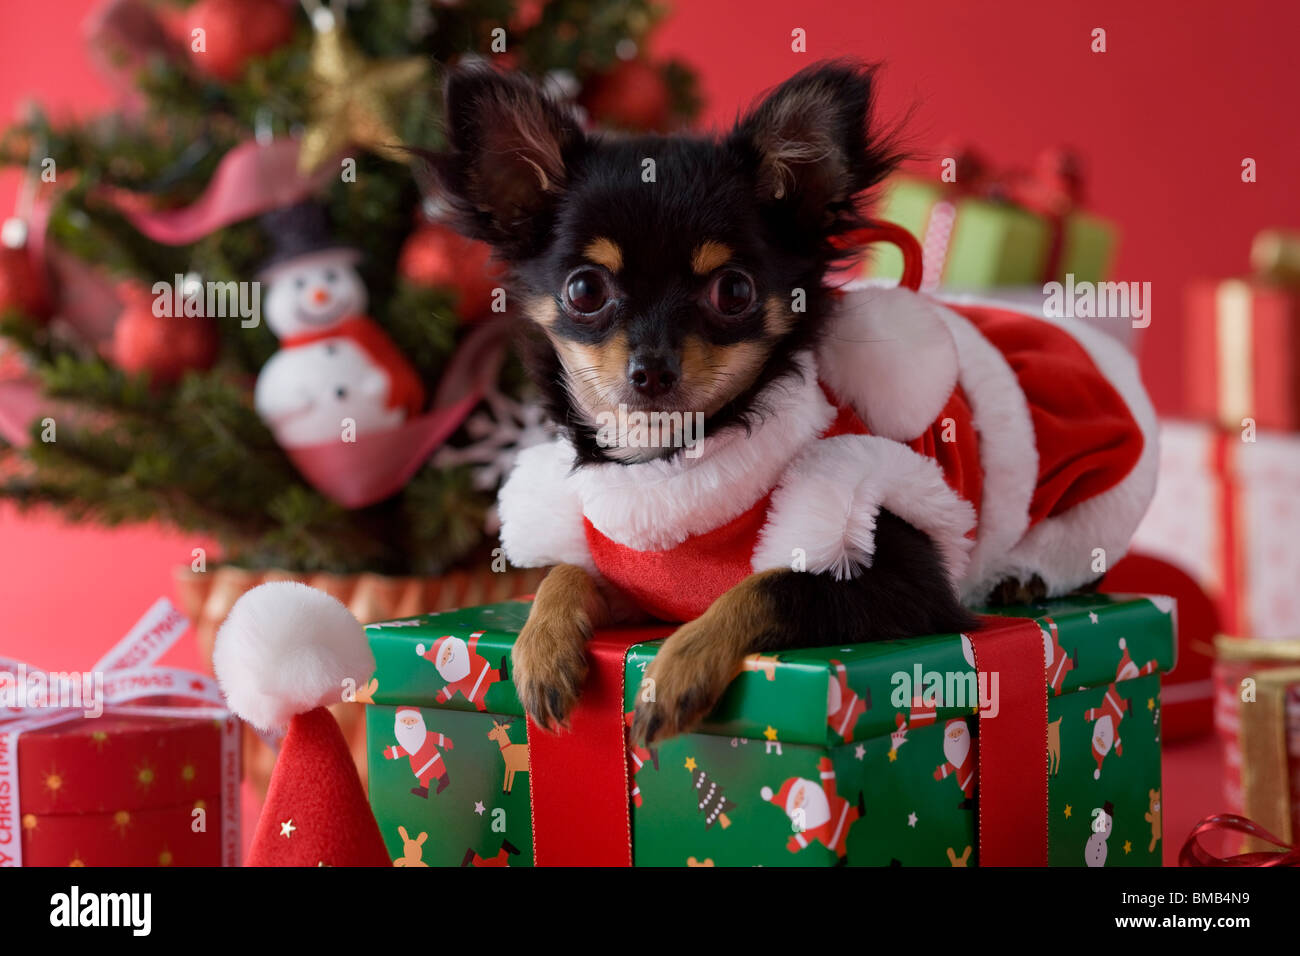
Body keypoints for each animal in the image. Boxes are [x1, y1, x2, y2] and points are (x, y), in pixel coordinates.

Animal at [418, 59, 1159, 749]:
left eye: (734, 291)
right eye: (584, 290)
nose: (650, 370)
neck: (672, 467)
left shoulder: (903, 578)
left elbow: (770, 585)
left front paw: (678, 665)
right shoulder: (629, 571)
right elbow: (564, 574)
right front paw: (540, 647)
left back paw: (1024, 578)